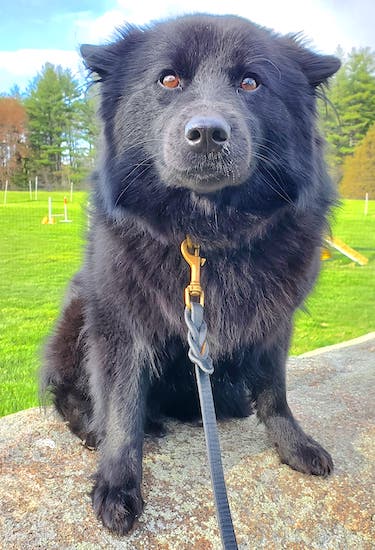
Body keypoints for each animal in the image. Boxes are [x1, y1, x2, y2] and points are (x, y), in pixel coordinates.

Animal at [41, 15, 340, 536]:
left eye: (250, 83)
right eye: (168, 80)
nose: (206, 133)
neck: (204, 233)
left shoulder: (276, 322)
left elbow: (275, 390)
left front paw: (293, 444)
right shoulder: (119, 320)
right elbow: (121, 405)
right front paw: (118, 484)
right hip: (78, 311)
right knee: (69, 391)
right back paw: (96, 427)